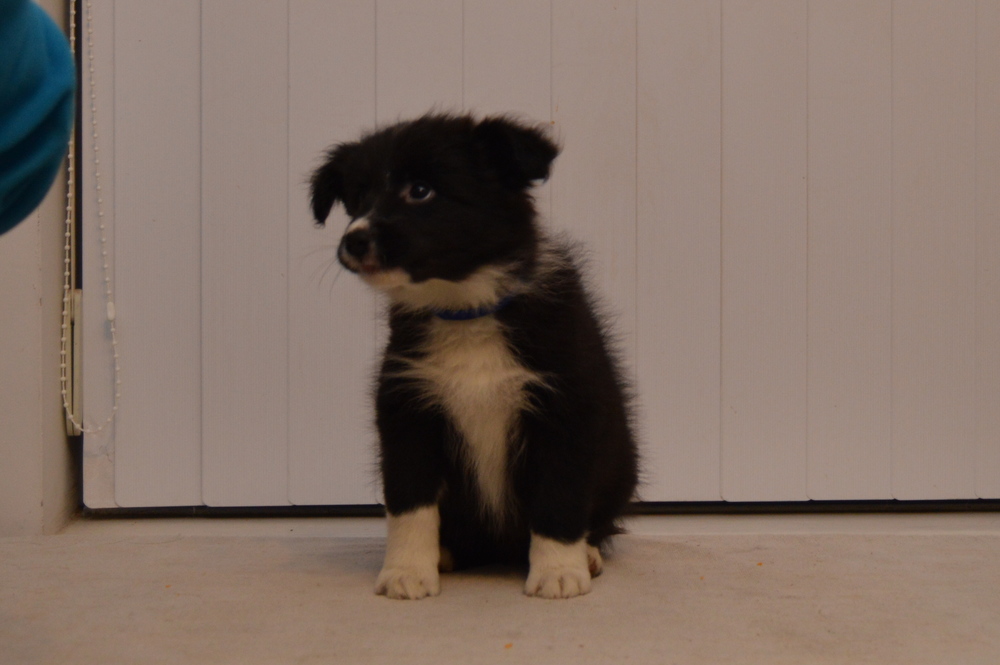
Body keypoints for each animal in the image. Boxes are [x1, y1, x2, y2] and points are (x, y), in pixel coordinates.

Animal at [310, 113, 639, 599]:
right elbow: (410, 502)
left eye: (421, 190)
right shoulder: (407, 411)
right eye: (358, 198)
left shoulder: (563, 407)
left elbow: (558, 496)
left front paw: (559, 571)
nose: (354, 241)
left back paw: (589, 554)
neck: (466, 310)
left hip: (620, 467)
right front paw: (407, 570)